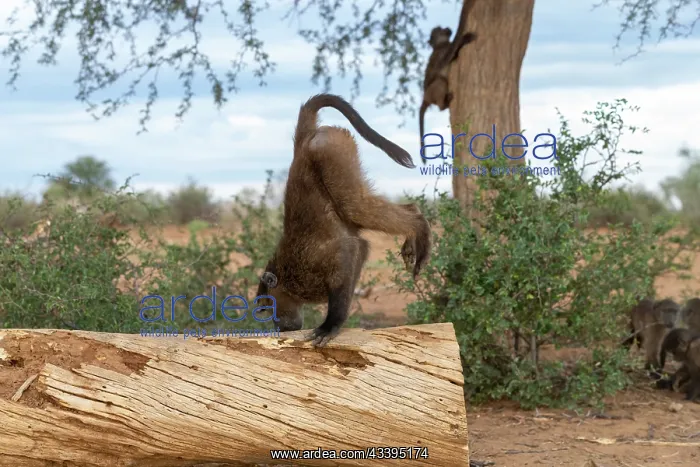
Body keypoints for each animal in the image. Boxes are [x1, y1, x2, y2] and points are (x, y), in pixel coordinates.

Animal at [256, 94, 432, 347]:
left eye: (268, 307)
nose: (278, 327)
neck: (287, 274)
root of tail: (304, 144)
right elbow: (360, 247)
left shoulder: (313, 264)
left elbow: (347, 252)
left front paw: (330, 325)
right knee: (358, 208)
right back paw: (413, 222)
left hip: (330, 148)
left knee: (355, 206)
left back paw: (420, 230)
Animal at [419, 12, 477, 164]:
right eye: (439, 30)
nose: (447, 28)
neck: (439, 45)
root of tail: (425, 97)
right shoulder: (443, 50)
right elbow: (448, 58)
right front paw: (464, 38)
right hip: (432, 92)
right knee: (441, 81)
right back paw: (443, 105)